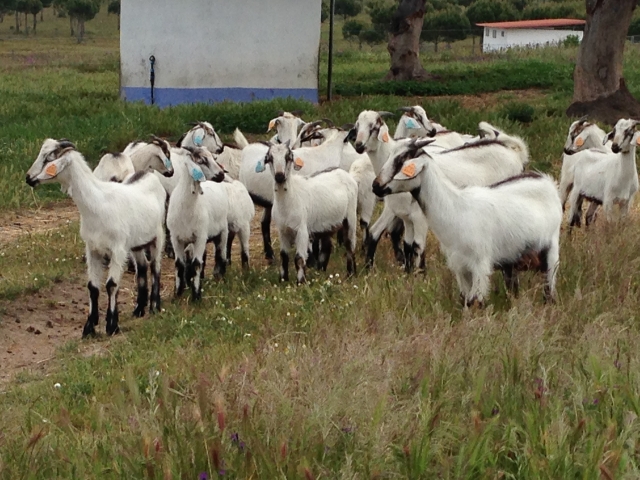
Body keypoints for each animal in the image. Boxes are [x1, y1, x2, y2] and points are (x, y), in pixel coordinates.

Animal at [262, 142, 360, 284]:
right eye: (270, 158)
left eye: (288, 157)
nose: (279, 176)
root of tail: (343, 172)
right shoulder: (282, 231)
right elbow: (284, 256)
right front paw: (283, 280)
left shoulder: (302, 230)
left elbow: (299, 259)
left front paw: (300, 282)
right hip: (327, 223)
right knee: (327, 246)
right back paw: (323, 271)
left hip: (350, 216)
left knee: (350, 244)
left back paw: (351, 274)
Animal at [370, 137, 560, 306]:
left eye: (401, 160)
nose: (375, 186)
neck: (457, 210)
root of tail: (545, 180)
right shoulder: (460, 267)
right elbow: (464, 301)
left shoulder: (480, 266)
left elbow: (476, 302)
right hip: (513, 258)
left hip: (552, 250)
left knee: (549, 292)